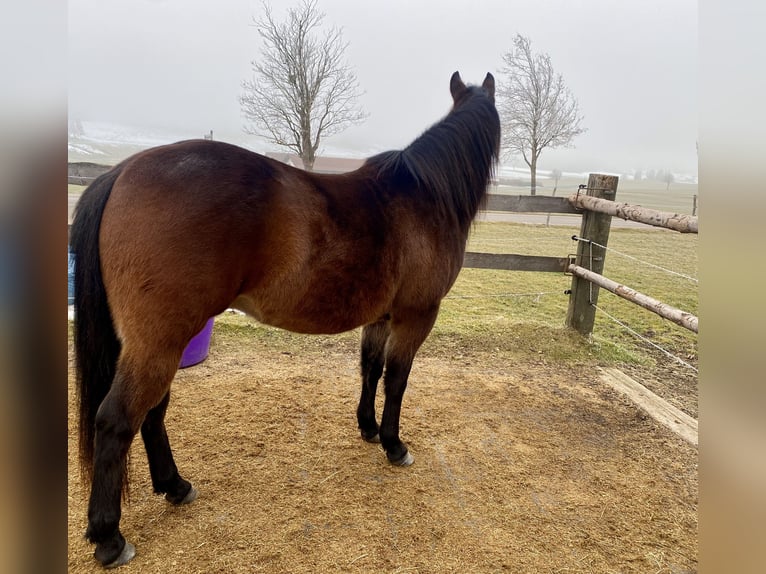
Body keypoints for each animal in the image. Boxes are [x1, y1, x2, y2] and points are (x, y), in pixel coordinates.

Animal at [71, 71, 500, 568]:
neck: (423, 197)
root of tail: (121, 171)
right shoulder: (416, 315)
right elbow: (397, 379)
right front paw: (395, 444)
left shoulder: (382, 317)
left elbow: (370, 369)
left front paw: (369, 429)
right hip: (159, 341)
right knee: (117, 419)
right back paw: (110, 537)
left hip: (157, 341)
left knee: (152, 412)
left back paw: (175, 486)